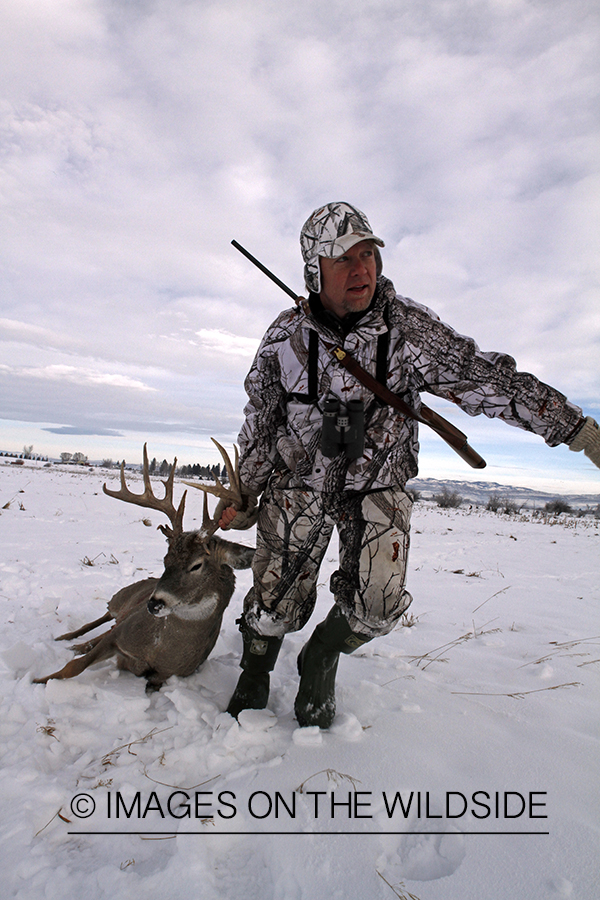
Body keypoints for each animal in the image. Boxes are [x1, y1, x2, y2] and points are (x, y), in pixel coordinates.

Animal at [33, 442, 255, 693]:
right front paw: (38, 681)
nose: (153, 603)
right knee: (103, 618)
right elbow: (74, 667)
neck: (158, 649)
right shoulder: (120, 635)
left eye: (196, 565)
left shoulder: (166, 676)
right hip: (121, 599)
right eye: (165, 559)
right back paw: (67, 640)